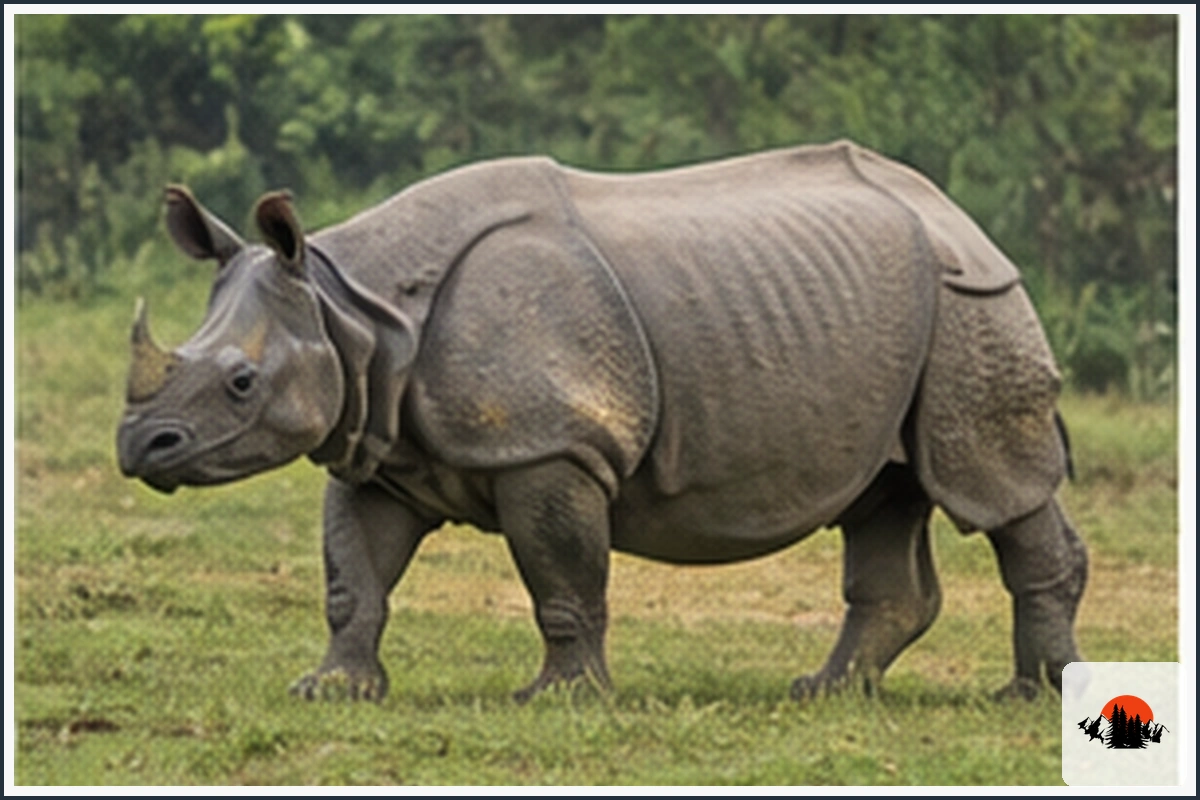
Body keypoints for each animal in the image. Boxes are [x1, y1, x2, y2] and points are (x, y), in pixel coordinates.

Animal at [116, 141, 1087, 703]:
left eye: (241, 383)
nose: (138, 447)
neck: (351, 309)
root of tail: (960, 212)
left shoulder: (550, 444)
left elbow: (561, 575)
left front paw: (560, 700)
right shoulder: (373, 446)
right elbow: (353, 579)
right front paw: (330, 691)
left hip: (974, 306)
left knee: (991, 485)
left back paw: (1030, 699)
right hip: (897, 315)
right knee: (882, 495)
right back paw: (824, 693)